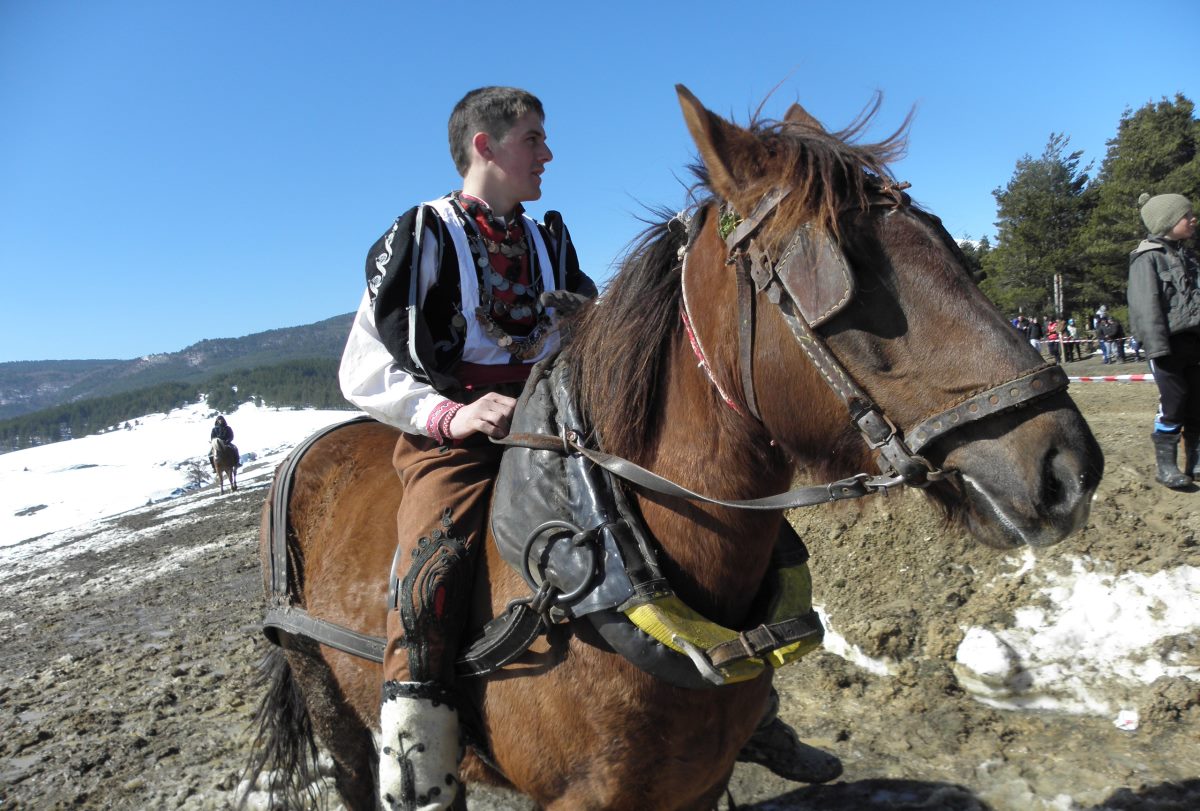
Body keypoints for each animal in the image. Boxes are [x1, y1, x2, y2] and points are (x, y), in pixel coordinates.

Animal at [248, 85, 1099, 806]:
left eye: (939, 239)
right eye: (846, 279)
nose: (1066, 466)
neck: (617, 554)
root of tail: (309, 450)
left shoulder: (696, 781)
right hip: (332, 698)